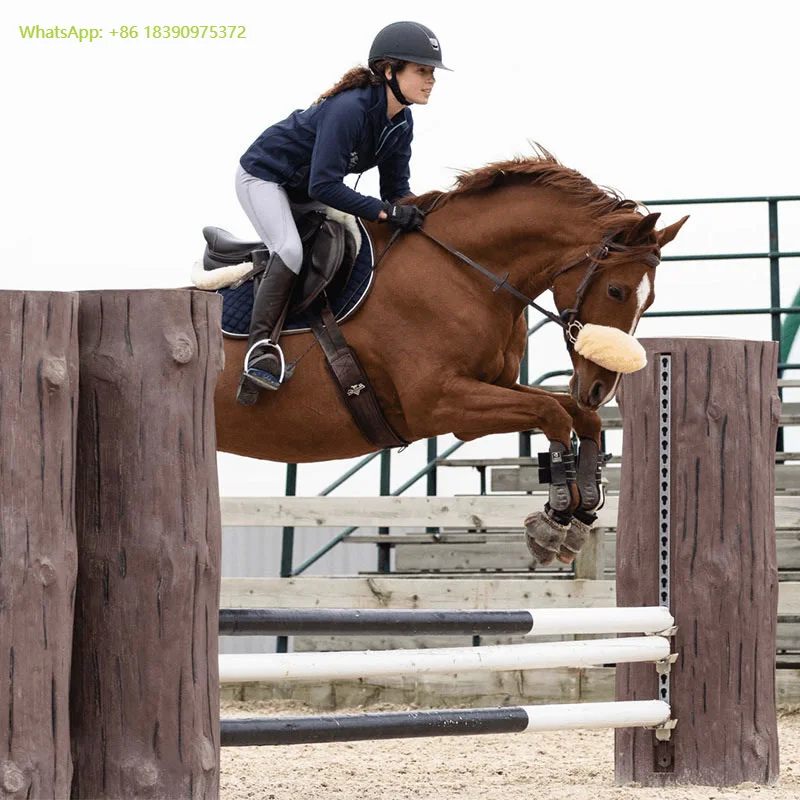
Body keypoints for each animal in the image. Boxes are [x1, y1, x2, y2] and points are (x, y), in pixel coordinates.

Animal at [212, 150, 688, 564]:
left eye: (649, 300)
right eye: (616, 291)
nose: (600, 388)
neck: (465, 273)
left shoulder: (491, 388)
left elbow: (575, 415)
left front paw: (582, 509)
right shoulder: (440, 403)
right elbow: (551, 412)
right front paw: (553, 520)